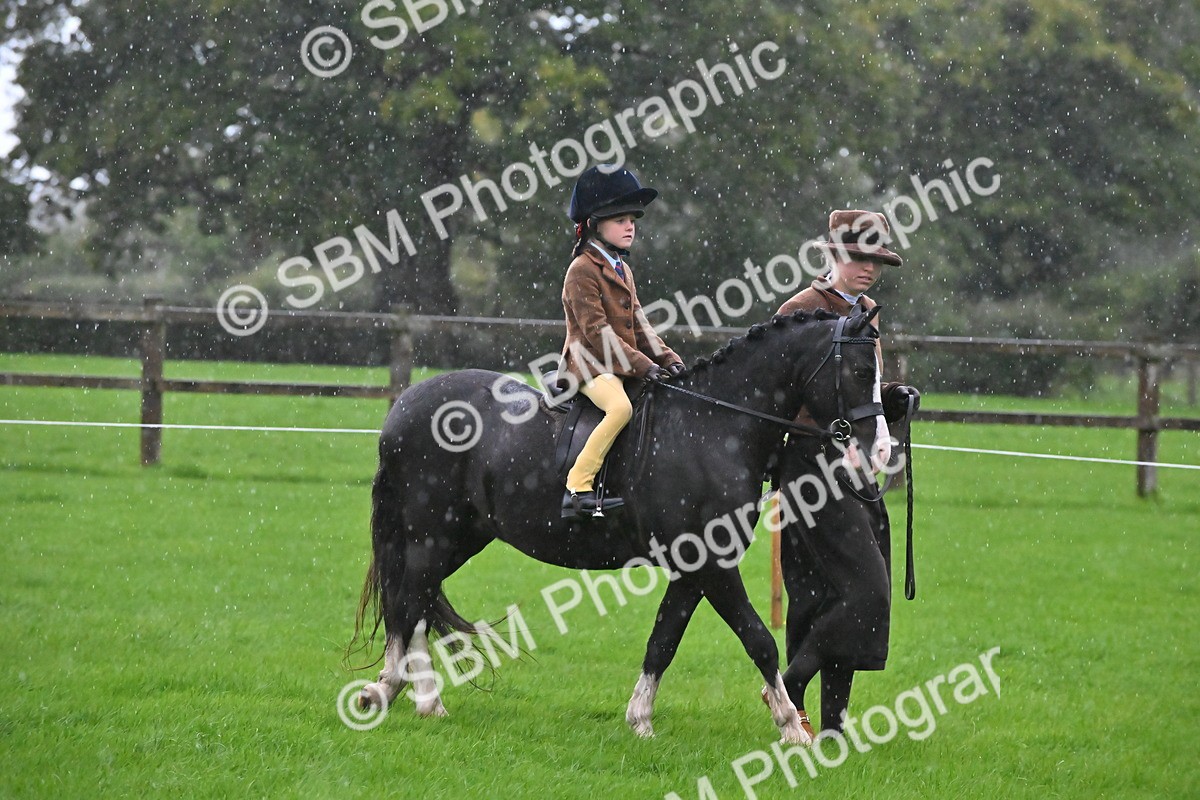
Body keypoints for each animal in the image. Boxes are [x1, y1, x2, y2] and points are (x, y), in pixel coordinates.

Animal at [347, 305, 890, 744]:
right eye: (863, 370)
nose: (882, 450)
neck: (712, 426)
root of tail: (407, 402)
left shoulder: (693, 567)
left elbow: (663, 640)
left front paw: (640, 719)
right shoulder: (713, 565)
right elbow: (759, 637)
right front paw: (791, 727)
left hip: (458, 537)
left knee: (415, 602)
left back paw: (408, 695)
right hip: (430, 534)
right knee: (409, 602)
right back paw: (406, 694)